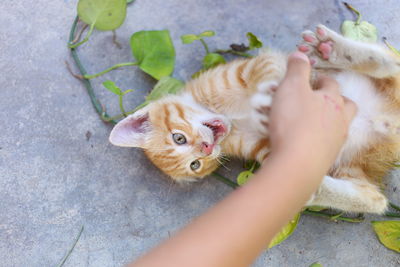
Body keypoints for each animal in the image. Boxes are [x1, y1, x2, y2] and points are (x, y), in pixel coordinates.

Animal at [108, 25, 400, 214]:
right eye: (195, 165)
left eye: (178, 138)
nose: (207, 148)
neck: (231, 118)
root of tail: (388, 123)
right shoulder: (262, 146)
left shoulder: (258, 65)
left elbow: (270, 73)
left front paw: (271, 101)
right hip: (351, 165)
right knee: (374, 199)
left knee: (392, 65)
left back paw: (335, 50)